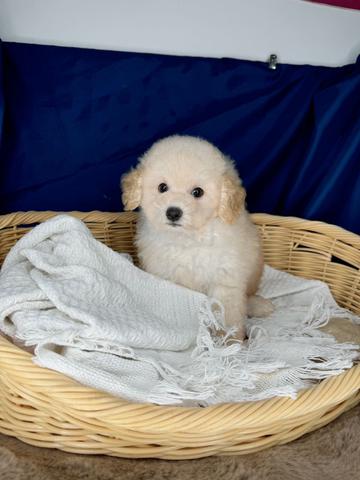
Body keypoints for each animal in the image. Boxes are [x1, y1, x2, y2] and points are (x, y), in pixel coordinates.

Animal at [121, 135, 272, 338]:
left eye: (197, 192)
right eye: (162, 187)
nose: (173, 213)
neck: (188, 239)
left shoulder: (225, 281)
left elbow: (228, 316)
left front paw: (230, 342)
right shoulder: (167, 277)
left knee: (247, 298)